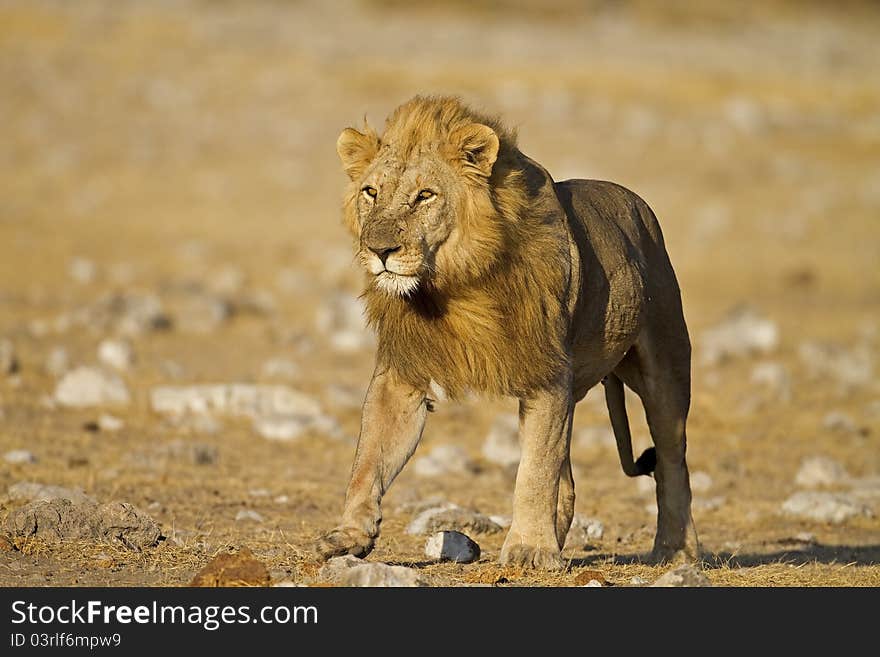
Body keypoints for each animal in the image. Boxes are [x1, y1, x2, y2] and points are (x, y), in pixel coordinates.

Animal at [312, 95, 696, 568]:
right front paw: (348, 536)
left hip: (666, 370)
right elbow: (369, 458)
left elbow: (534, 471)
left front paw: (529, 548)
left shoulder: (548, 375)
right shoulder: (402, 373)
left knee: (672, 462)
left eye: (424, 195)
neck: (453, 285)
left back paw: (674, 550)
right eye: (371, 192)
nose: (379, 250)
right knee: (569, 479)